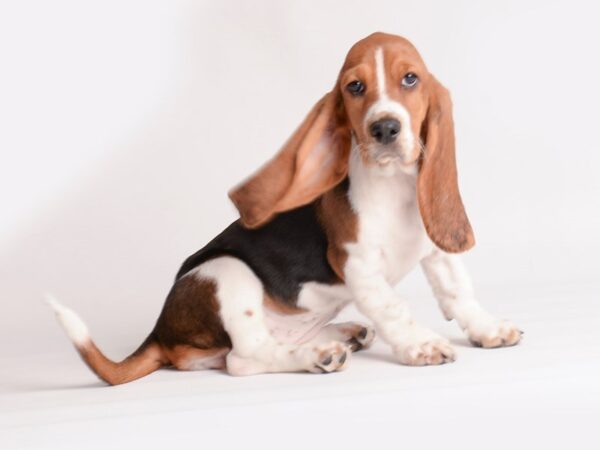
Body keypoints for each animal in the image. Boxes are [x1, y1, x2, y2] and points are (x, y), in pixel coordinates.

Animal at [49, 32, 524, 384]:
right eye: (355, 87)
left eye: (410, 79)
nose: (385, 128)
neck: (395, 186)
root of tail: (161, 335)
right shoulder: (358, 265)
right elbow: (394, 307)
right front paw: (421, 346)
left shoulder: (436, 250)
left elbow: (459, 292)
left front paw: (489, 329)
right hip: (227, 274)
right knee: (244, 358)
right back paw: (319, 355)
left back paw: (345, 333)